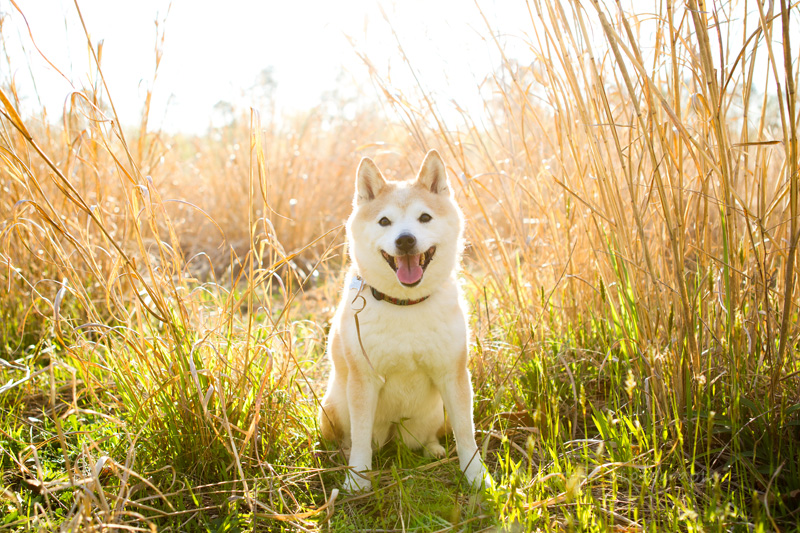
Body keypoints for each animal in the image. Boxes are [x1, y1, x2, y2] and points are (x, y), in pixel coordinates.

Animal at [318, 149, 488, 490]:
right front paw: (357, 481)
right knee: (351, 439)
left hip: (437, 413)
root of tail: (395, 434)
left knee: (432, 436)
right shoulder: (364, 380)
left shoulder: (454, 375)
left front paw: (476, 476)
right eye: (385, 221)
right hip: (331, 408)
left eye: (424, 218)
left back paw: (434, 450)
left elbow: (466, 433)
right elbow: (360, 439)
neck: (406, 304)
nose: (406, 240)